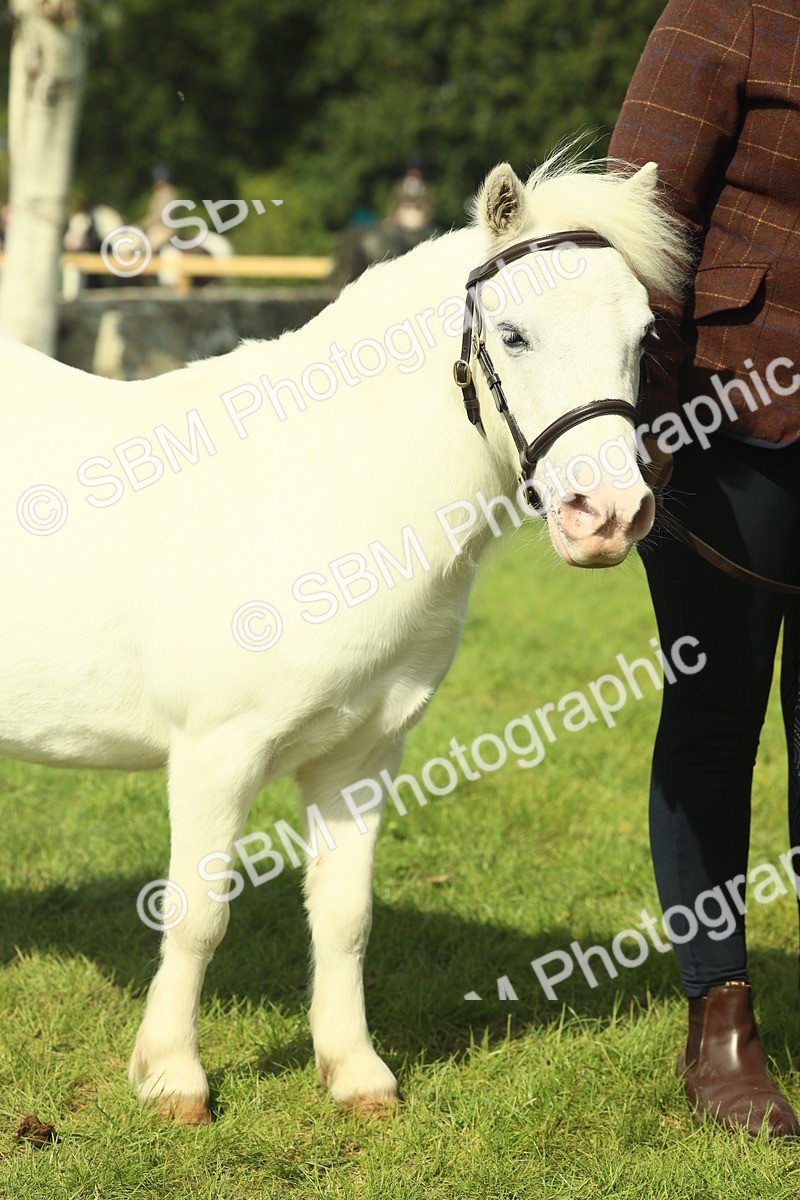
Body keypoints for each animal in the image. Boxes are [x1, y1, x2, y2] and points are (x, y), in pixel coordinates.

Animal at [1, 154, 687, 1125]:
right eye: (514, 336)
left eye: (644, 338)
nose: (612, 515)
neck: (321, 488)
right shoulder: (215, 754)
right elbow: (199, 915)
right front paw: (173, 1077)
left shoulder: (361, 756)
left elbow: (345, 916)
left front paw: (355, 1071)